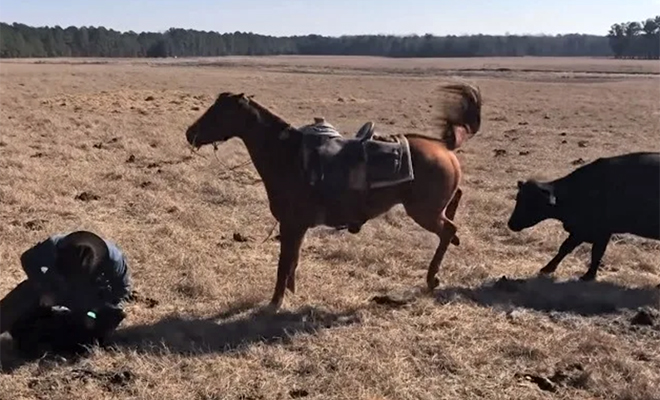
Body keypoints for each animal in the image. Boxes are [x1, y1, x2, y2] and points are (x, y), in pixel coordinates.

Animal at [186, 83, 484, 310]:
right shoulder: (296, 228)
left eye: (219, 112)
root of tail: (443, 146)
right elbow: (292, 260)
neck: (288, 155)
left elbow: (284, 263)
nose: (190, 133)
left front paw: (275, 302)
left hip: (425, 213)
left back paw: (433, 278)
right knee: (452, 217)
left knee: (448, 230)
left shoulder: (291, 225)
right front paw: (289, 292)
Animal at [508, 151, 656, 282]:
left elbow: (595, 253)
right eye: (518, 198)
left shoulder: (599, 232)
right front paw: (547, 268)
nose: (511, 224)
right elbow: (565, 248)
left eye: (533, 203)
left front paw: (588, 276)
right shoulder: (582, 231)